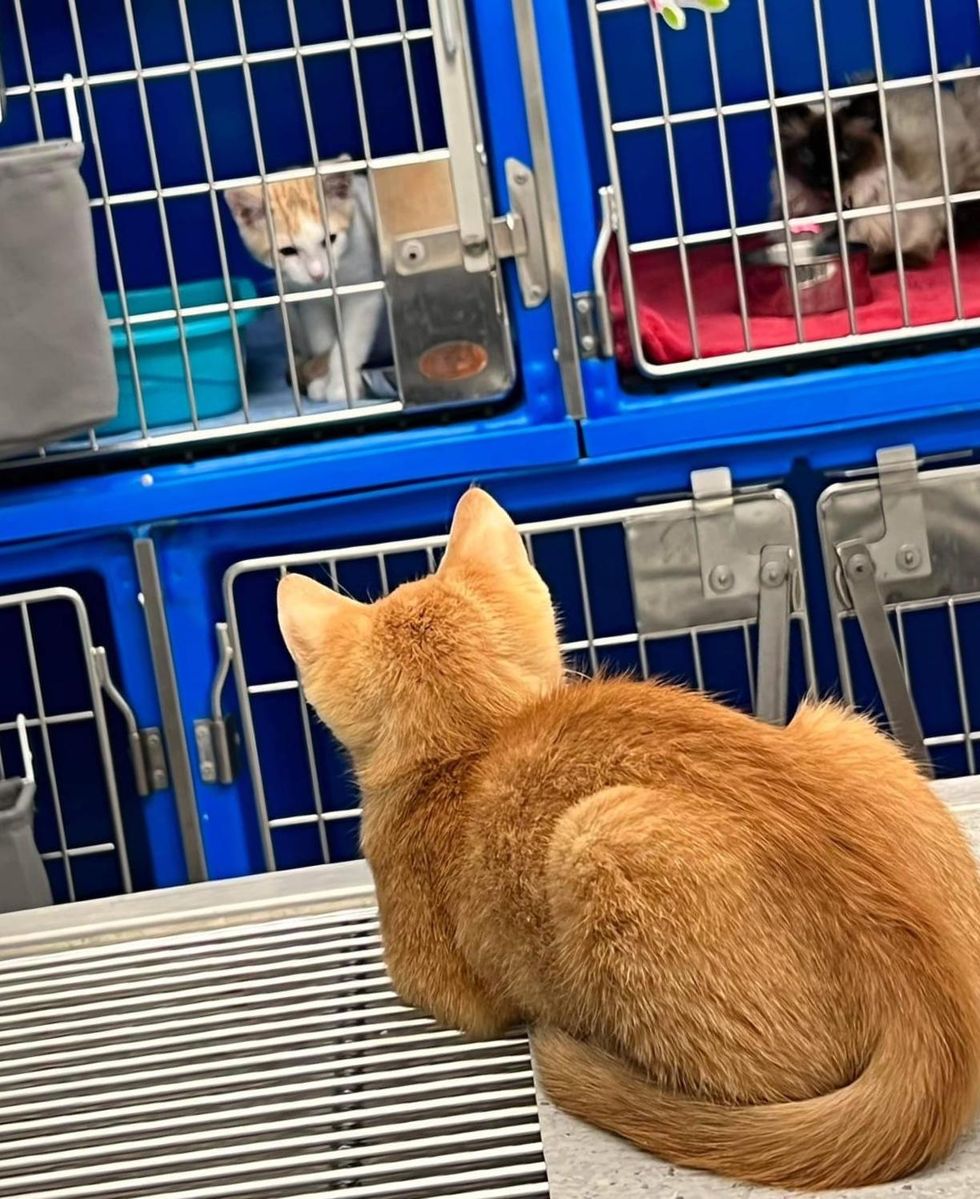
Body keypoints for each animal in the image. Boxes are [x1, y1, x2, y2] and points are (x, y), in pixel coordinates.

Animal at [224, 155, 386, 402]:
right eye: (288, 251)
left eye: (330, 239)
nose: (317, 273)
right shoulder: (309, 301)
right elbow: (322, 338)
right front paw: (321, 380)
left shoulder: (364, 294)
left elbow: (349, 342)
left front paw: (342, 386)